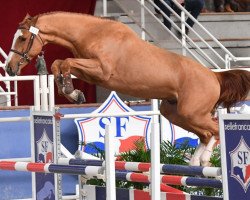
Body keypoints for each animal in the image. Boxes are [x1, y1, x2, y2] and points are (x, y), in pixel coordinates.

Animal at [4, 11, 250, 166]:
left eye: (22, 38)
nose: (9, 68)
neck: (92, 33)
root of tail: (214, 76)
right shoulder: (90, 71)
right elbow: (59, 64)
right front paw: (72, 92)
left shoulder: (101, 70)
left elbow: (65, 63)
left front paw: (71, 91)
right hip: (175, 112)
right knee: (206, 133)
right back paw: (196, 161)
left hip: (192, 112)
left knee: (214, 130)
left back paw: (205, 160)